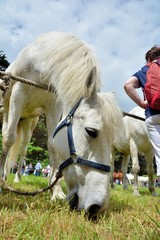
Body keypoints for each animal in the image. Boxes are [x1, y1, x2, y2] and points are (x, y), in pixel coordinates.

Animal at [0, 31, 124, 217]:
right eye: (91, 131)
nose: (98, 207)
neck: (41, 65)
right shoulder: (18, 94)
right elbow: (8, 138)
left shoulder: (54, 105)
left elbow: (52, 145)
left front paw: (56, 191)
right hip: (8, 111)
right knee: (8, 135)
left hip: (29, 122)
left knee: (22, 149)